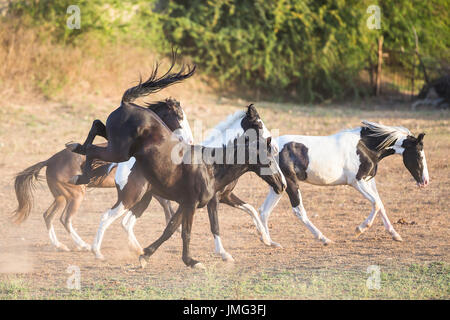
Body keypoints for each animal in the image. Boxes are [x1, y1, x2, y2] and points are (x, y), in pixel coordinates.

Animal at [256, 121, 428, 246]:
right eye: (419, 155)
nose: (425, 181)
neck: (365, 147)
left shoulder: (368, 181)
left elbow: (380, 204)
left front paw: (395, 235)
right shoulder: (357, 182)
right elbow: (376, 203)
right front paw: (359, 229)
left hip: (278, 186)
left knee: (264, 211)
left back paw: (269, 242)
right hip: (291, 184)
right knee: (298, 211)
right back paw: (324, 239)